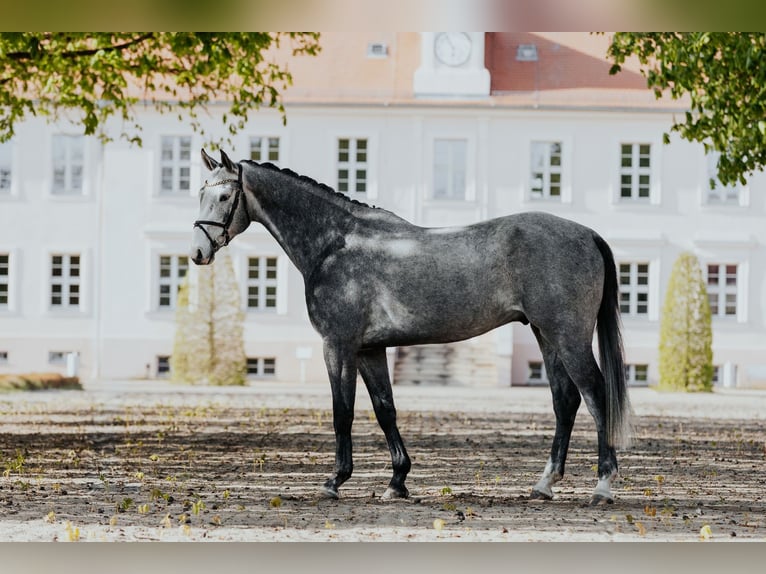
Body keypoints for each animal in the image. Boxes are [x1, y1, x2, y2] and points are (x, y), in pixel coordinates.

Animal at [190, 149, 631, 505]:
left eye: (225, 196)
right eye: (200, 194)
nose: (197, 252)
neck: (336, 243)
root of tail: (587, 234)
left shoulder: (338, 345)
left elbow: (342, 412)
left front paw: (335, 481)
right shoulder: (370, 349)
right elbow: (385, 409)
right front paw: (397, 481)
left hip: (568, 336)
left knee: (595, 394)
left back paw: (603, 486)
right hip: (546, 335)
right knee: (565, 400)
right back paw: (544, 484)